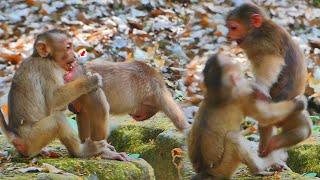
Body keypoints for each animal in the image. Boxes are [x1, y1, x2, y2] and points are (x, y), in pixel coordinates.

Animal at [0, 29, 129, 160]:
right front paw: (89, 81)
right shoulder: (48, 69)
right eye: (68, 47)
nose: (75, 56)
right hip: (32, 139)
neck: (46, 58)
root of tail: (15, 136)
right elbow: (54, 99)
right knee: (58, 120)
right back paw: (82, 151)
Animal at [225, 2, 312, 156]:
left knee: (302, 128)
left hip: (287, 111)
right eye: (228, 27)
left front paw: (260, 87)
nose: (228, 35)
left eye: (233, 27)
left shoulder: (264, 40)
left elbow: (271, 59)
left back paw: (272, 144)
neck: (257, 30)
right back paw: (268, 146)